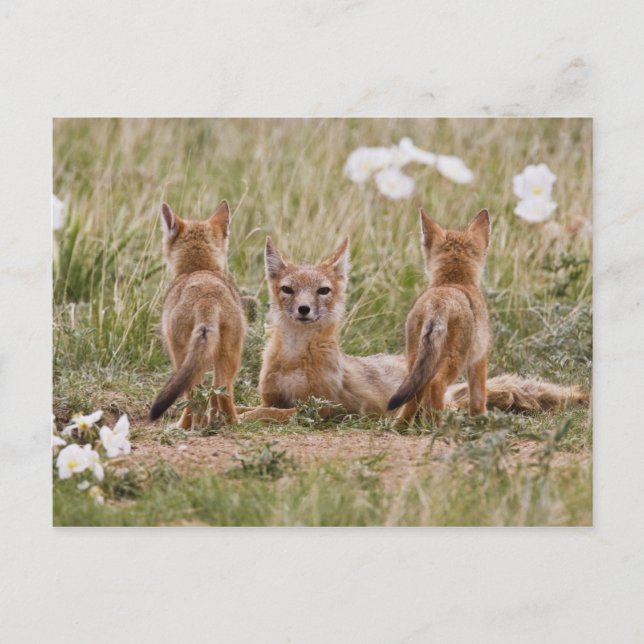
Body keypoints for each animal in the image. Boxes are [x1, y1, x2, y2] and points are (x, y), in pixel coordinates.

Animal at [149, 200, 246, 428]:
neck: (199, 269)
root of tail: (206, 297)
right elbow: (212, 397)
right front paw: (212, 420)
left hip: (182, 356)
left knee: (193, 394)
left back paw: (183, 426)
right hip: (229, 355)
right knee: (221, 391)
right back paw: (231, 423)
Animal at [238, 234, 587, 423]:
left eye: (323, 290)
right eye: (288, 289)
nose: (304, 309)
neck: (294, 358)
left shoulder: (321, 409)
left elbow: (268, 414)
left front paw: (243, 418)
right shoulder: (272, 398)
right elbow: (253, 406)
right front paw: (231, 413)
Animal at [387, 208, 490, 424]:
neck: (453, 281)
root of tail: (438, 303)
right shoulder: (479, 358)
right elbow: (478, 396)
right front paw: (482, 419)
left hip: (415, 360)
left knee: (416, 393)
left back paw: (402, 425)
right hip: (454, 361)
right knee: (437, 384)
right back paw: (439, 424)